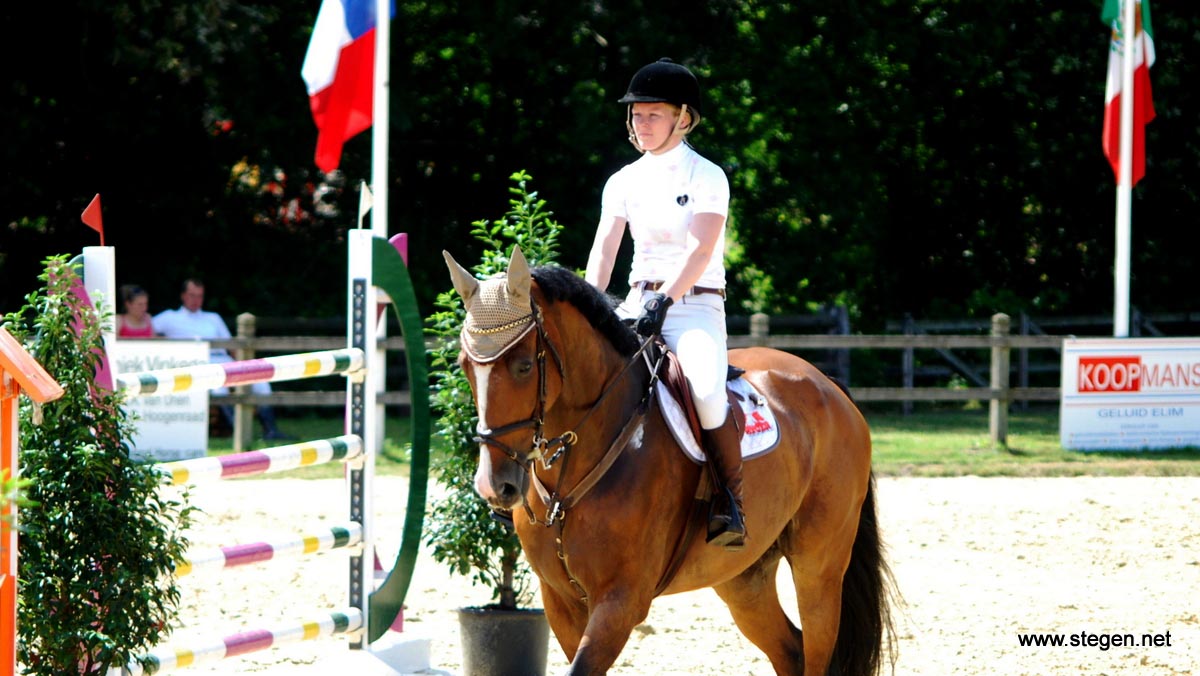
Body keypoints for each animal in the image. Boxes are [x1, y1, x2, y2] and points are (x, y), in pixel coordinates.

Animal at [446, 248, 897, 676]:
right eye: (464, 366)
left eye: (524, 366)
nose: (494, 486)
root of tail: (828, 385)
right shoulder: (560, 601)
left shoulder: (621, 600)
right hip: (743, 578)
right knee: (790, 650)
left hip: (818, 567)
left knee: (816, 647)